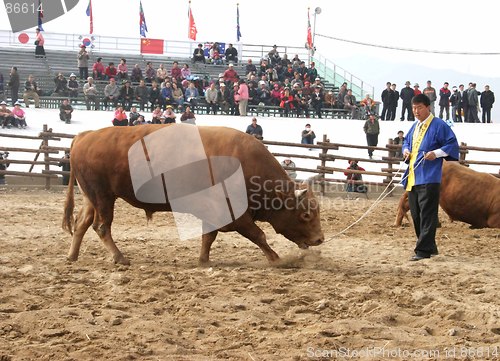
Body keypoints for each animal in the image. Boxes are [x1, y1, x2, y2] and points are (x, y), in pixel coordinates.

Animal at [61, 124, 324, 264]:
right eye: (305, 215)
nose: (319, 239)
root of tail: (85, 136)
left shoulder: (214, 214)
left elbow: (208, 237)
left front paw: (203, 260)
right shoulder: (235, 215)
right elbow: (258, 235)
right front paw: (277, 259)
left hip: (92, 198)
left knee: (81, 223)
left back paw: (72, 256)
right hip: (104, 197)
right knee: (101, 227)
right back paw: (119, 258)